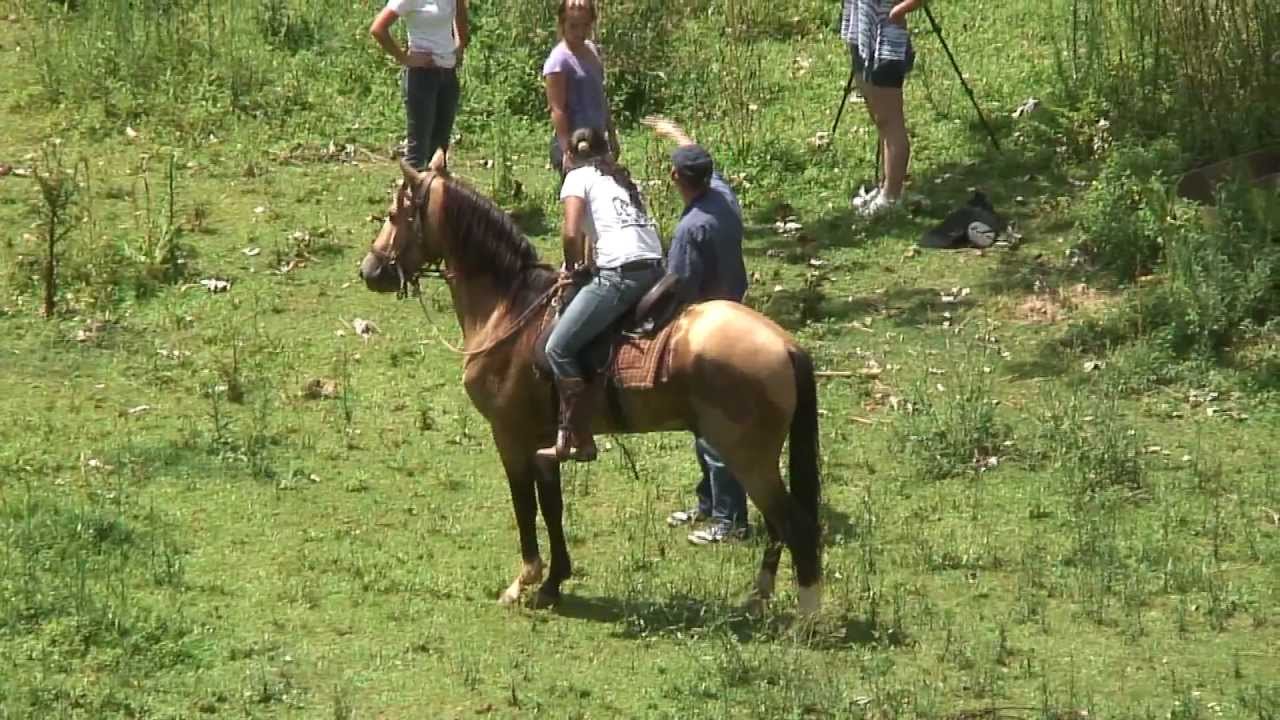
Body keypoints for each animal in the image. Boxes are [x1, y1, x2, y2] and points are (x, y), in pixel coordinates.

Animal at [355, 159, 824, 614]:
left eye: (395, 214)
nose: (370, 270)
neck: (510, 309)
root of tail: (786, 345)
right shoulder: (545, 440)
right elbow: (552, 506)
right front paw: (552, 583)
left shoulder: (510, 435)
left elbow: (525, 505)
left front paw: (525, 581)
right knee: (778, 526)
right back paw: (759, 598)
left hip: (748, 456)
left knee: (795, 525)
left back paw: (805, 617)